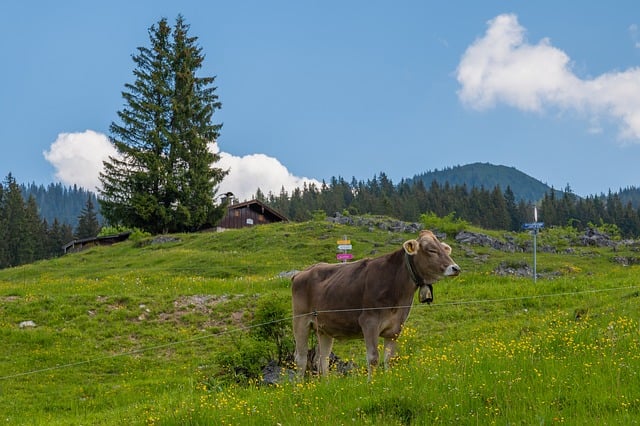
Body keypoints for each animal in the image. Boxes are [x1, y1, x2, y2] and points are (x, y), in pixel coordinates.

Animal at [290, 231, 460, 378]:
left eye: (444, 249)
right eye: (431, 250)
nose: (456, 268)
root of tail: (301, 272)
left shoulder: (395, 327)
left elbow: (389, 359)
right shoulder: (369, 322)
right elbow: (373, 358)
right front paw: (371, 384)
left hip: (325, 327)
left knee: (322, 358)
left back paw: (327, 385)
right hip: (300, 321)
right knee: (301, 359)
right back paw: (298, 387)